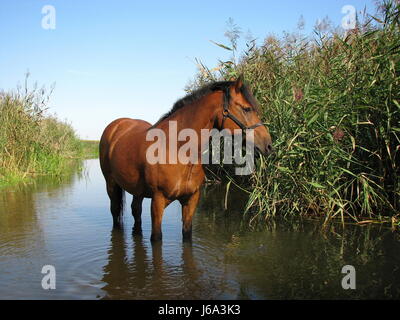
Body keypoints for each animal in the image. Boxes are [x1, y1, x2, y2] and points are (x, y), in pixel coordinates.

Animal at [99, 77, 272, 242]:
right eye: (246, 108)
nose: (268, 145)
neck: (178, 150)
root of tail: (116, 125)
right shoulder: (157, 201)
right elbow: (157, 237)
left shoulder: (191, 200)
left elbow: (187, 235)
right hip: (111, 184)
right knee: (115, 211)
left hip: (137, 191)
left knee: (136, 212)